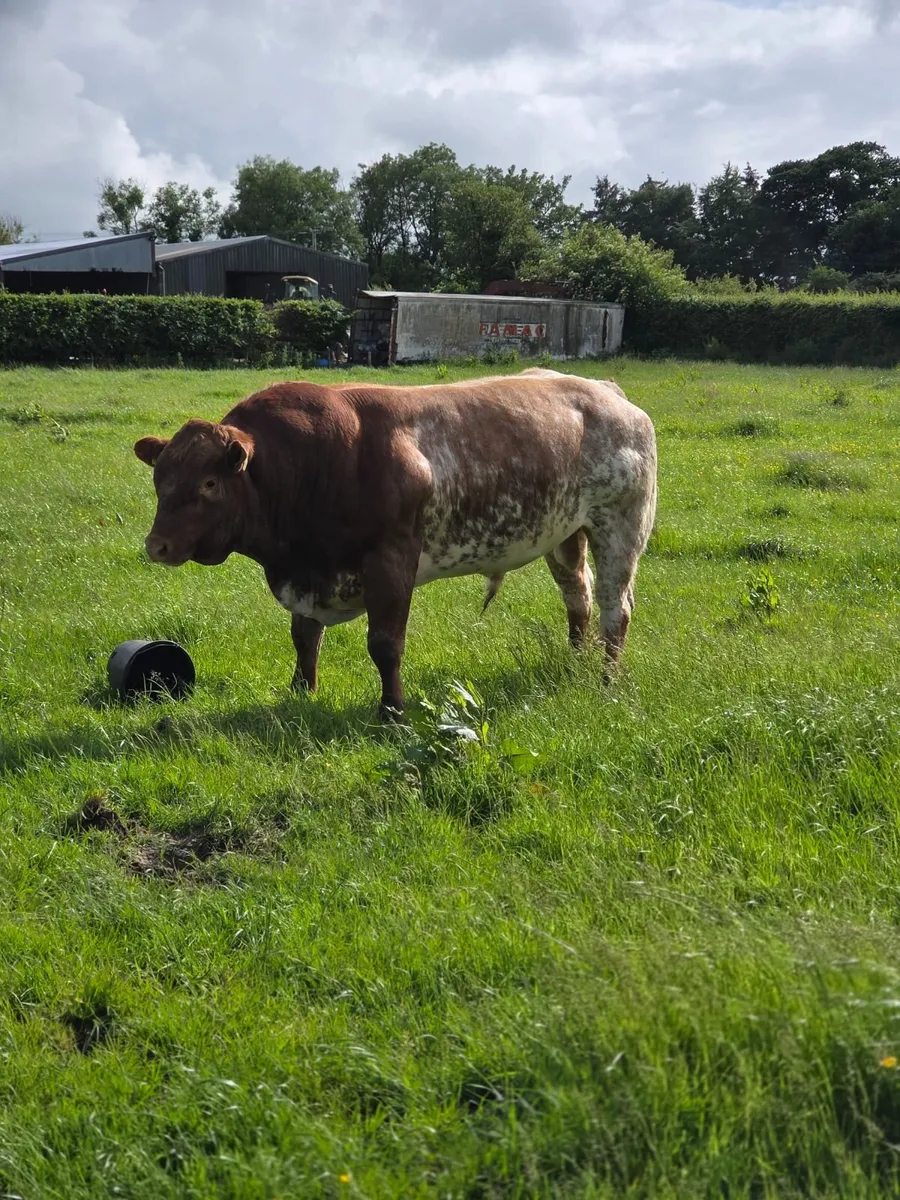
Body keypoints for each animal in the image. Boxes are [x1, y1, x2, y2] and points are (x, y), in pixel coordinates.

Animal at [133, 369, 657, 718]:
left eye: (208, 484)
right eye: (160, 478)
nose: (157, 545)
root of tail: (606, 391)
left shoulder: (391, 560)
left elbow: (385, 644)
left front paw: (392, 709)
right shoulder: (307, 573)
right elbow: (304, 637)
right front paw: (301, 690)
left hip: (621, 525)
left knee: (615, 608)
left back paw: (606, 681)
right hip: (565, 534)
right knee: (577, 598)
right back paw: (575, 663)